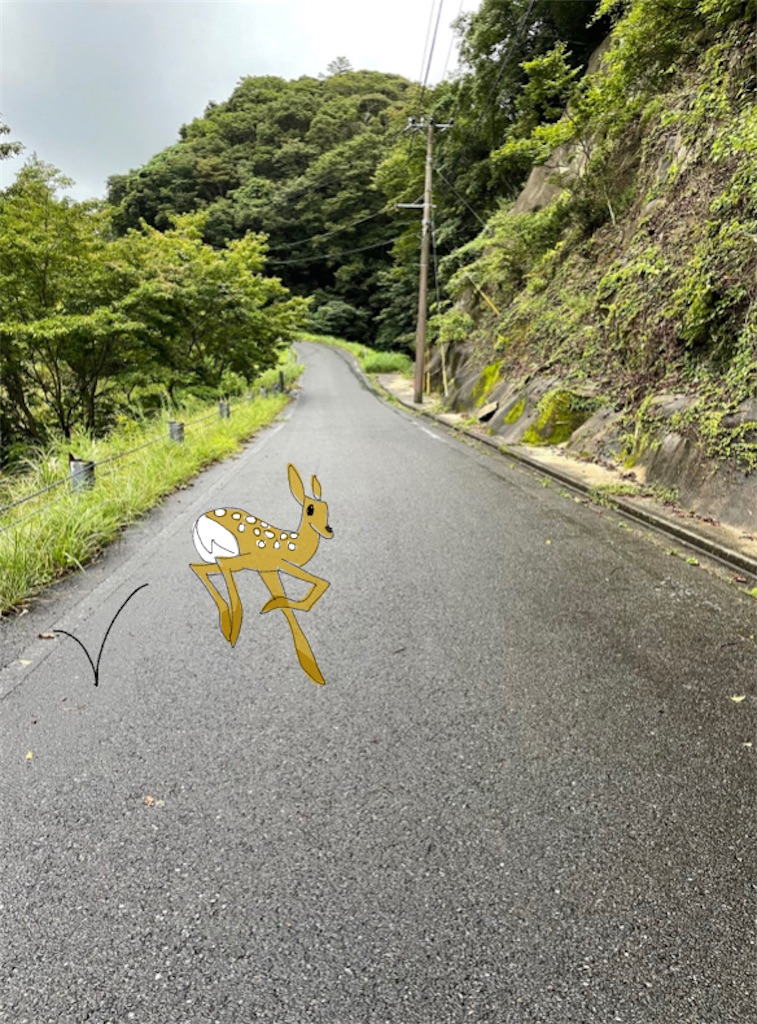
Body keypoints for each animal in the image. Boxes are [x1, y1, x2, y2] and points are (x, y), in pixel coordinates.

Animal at [190, 464, 333, 685]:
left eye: (327, 507)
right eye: (310, 509)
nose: (329, 530)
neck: (290, 547)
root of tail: (197, 523)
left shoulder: (269, 568)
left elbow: (312, 589)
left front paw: (310, 665)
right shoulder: (268, 563)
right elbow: (314, 588)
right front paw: (311, 668)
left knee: (198, 567)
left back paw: (226, 625)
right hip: (231, 551)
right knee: (221, 568)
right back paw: (232, 631)